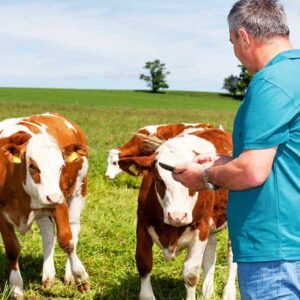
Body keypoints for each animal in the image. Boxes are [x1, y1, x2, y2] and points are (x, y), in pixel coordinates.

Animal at [0, 112, 89, 298]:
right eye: (32, 165)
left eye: (62, 166)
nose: (52, 197)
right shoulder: (1, 214)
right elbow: (12, 249)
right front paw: (16, 288)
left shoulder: (59, 202)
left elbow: (67, 241)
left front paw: (80, 277)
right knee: (48, 233)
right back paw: (48, 276)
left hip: (78, 189)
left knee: (74, 227)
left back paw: (69, 275)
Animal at [119, 129, 237, 300]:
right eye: (159, 179)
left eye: (193, 178)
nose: (177, 216)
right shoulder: (142, 223)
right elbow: (143, 262)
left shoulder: (201, 227)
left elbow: (191, 273)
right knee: (210, 253)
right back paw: (208, 290)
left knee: (232, 256)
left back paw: (229, 292)